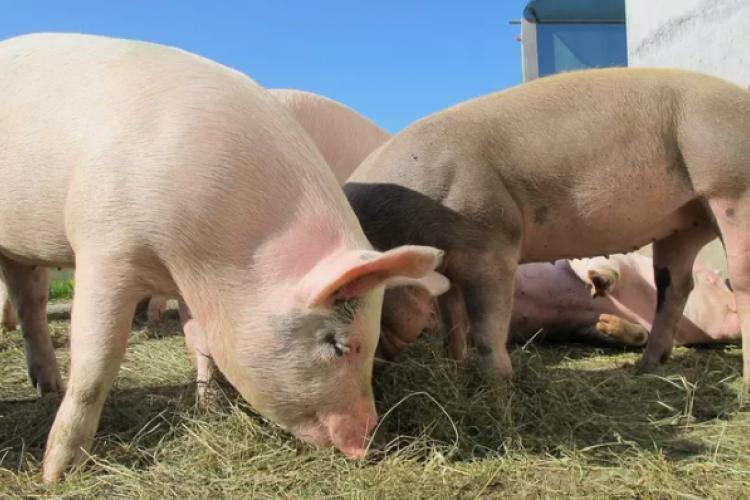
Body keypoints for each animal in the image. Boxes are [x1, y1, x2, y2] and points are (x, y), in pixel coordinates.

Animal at [0, 30, 446, 480]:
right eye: (339, 345)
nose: (369, 445)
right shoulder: (106, 247)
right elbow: (97, 364)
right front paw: (57, 474)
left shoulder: (191, 283)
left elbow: (202, 342)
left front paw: (210, 406)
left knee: (30, 300)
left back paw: (48, 387)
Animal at [348, 65, 750, 390]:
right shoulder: (450, 264)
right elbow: (452, 322)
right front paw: (454, 368)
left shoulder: (492, 244)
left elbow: (487, 327)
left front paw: (498, 388)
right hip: (684, 223)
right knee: (676, 286)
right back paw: (646, 368)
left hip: (730, 185)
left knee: (739, 277)